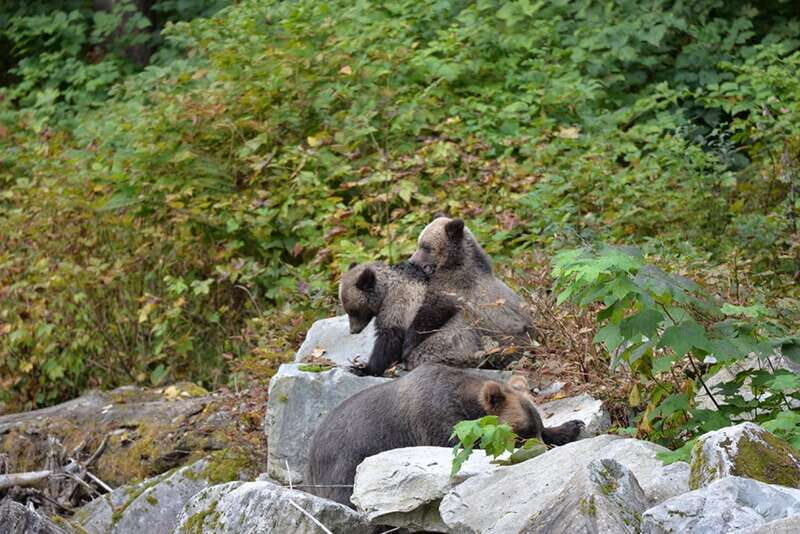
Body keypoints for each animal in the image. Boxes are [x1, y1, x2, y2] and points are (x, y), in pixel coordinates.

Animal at [305, 363, 584, 507]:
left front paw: (572, 425)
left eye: (535, 427)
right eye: (521, 433)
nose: (542, 449)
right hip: (346, 462)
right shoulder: (434, 422)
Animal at [339, 261, 483, 376]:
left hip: (446, 340)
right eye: (347, 310)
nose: (353, 330)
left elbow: (390, 340)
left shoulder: (397, 306)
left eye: (353, 311)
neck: (385, 291)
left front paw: (364, 368)